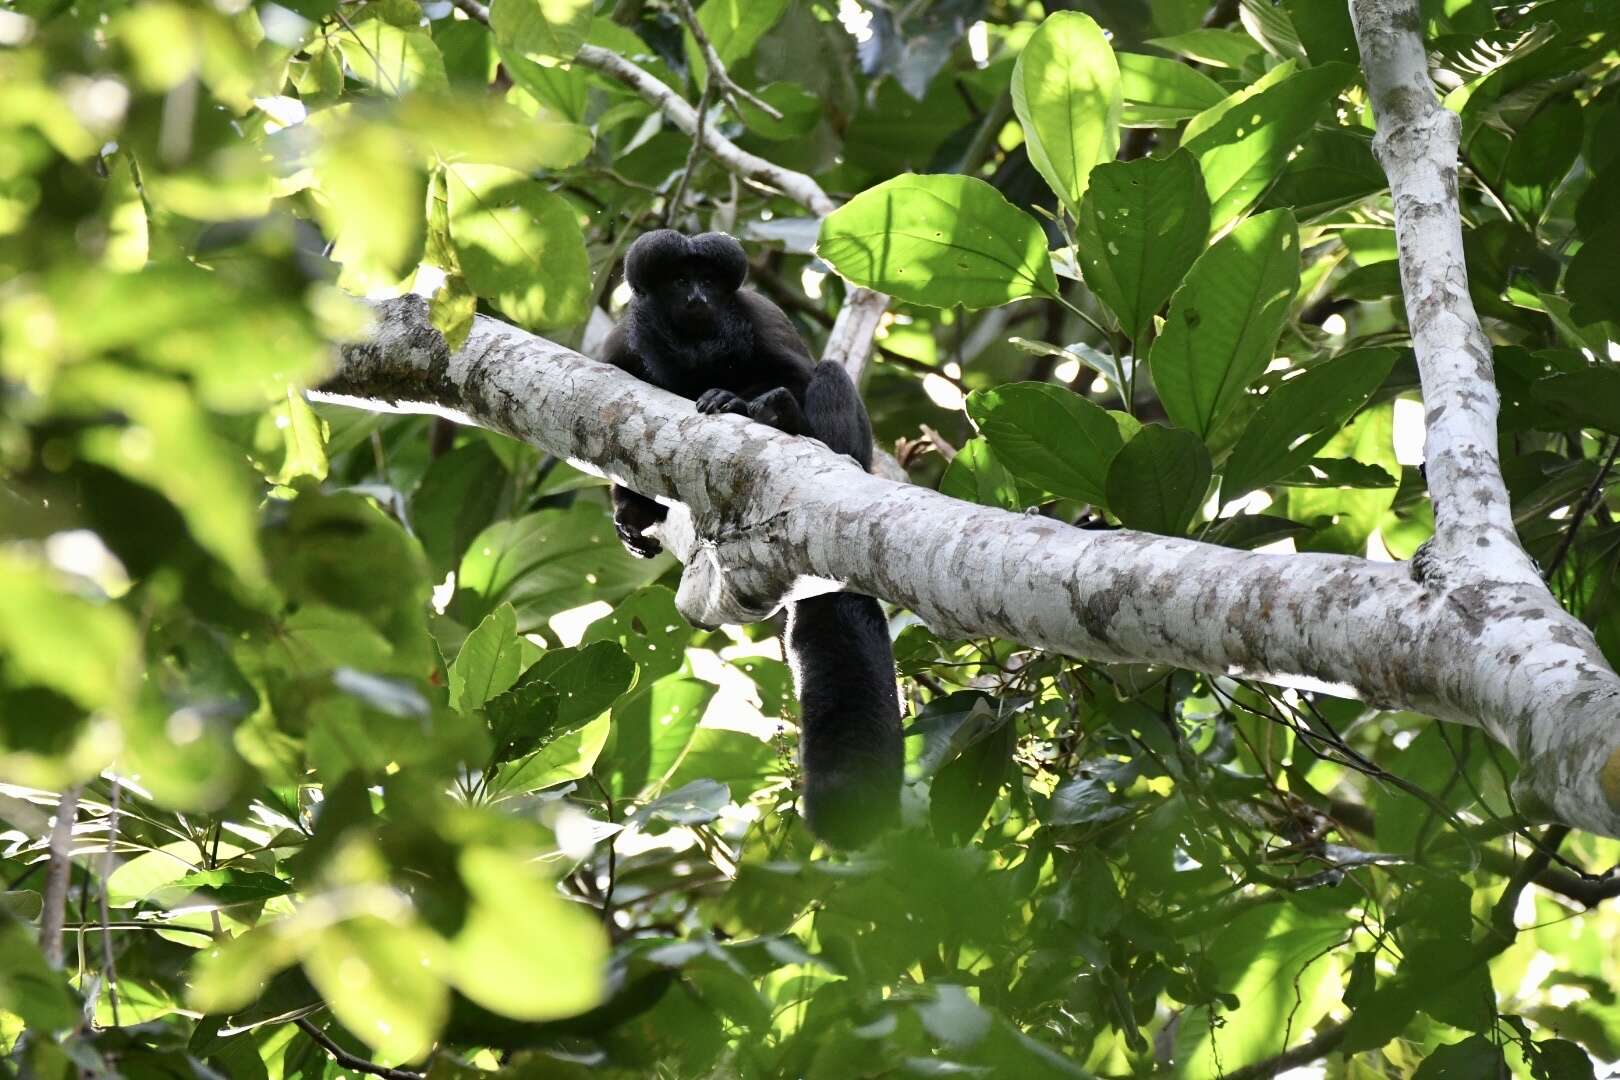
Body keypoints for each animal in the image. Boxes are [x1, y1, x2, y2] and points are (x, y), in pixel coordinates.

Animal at [599, 229, 900, 854]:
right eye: (678, 281)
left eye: (710, 282)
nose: (697, 296)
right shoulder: (617, 348)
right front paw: (629, 514)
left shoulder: (760, 318)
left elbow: (804, 371)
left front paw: (758, 404)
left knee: (828, 376)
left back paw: (775, 415)